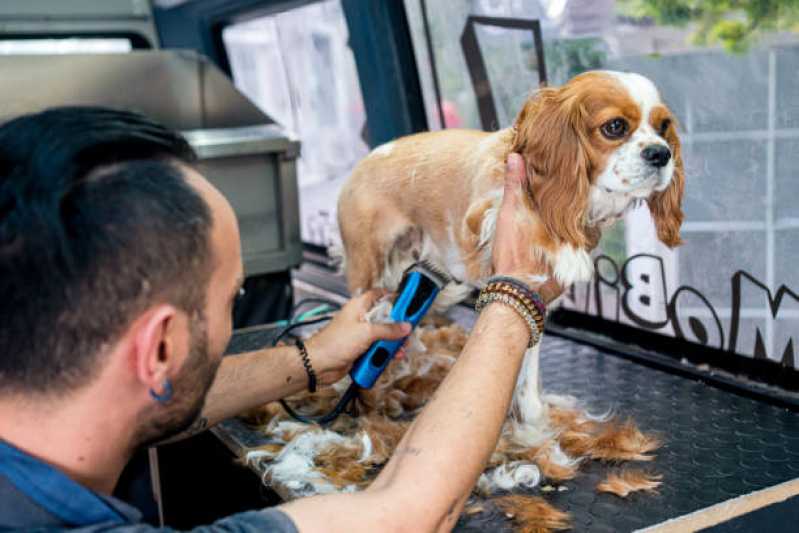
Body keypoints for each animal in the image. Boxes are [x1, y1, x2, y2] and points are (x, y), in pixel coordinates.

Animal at [334, 69, 684, 436]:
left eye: (663, 127)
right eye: (614, 127)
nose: (661, 154)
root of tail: (364, 159)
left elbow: (527, 371)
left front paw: (533, 419)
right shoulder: (481, 214)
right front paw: (564, 250)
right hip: (368, 264)